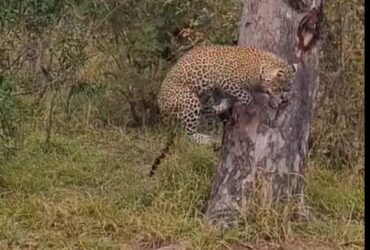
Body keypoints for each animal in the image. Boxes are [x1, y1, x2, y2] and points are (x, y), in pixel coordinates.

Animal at [149, 45, 296, 178]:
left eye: (287, 89)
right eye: (280, 88)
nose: (283, 100)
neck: (261, 67)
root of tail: (161, 107)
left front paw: (272, 101)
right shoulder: (227, 81)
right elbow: (246, 96)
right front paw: (251, 103)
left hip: (205, 97)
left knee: (209, 111)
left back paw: (225, 106)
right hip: (189, 100)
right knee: (187, 134)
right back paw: (209, 139)